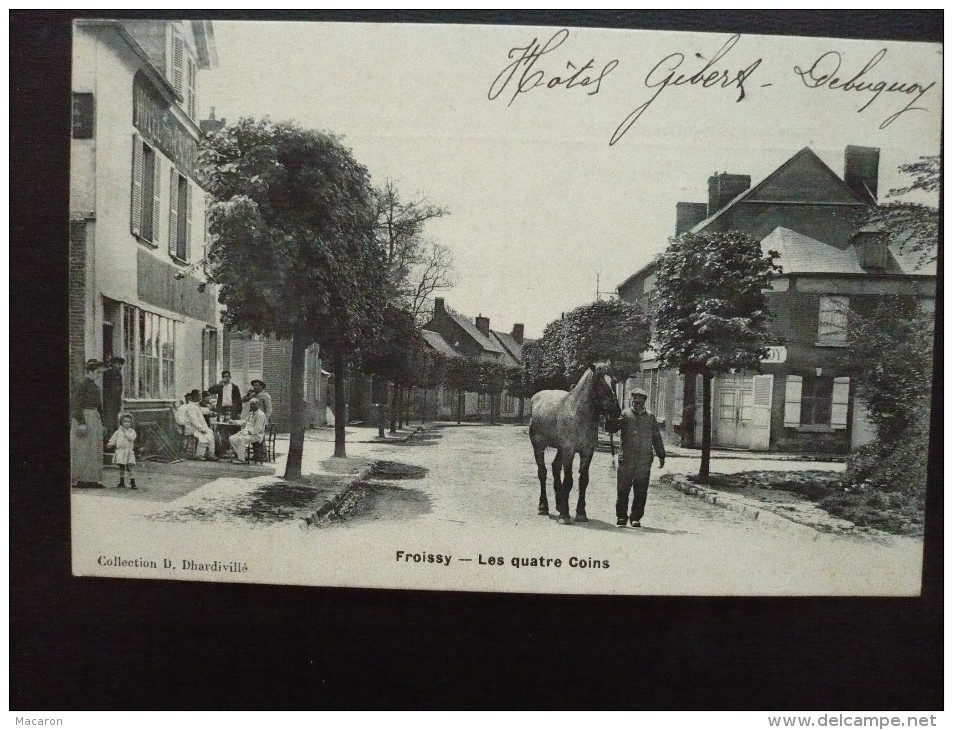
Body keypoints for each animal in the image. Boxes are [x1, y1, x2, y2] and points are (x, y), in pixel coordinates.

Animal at [524, 362, 620, 524]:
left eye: (614, 381)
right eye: (599, 381)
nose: (615, 413)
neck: (578, 414)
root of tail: (536, 397)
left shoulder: (587, 452)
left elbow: (583, 480)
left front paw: (581, 513)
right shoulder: (569, 451)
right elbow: (568, 480)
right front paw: (565, 515)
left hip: (560, 449)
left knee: (555, 468)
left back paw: (559, 504)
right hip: (539, 446)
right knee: (542, 472)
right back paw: (544, 507)